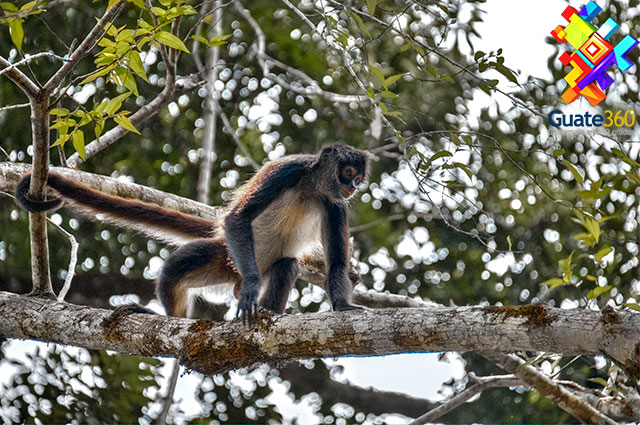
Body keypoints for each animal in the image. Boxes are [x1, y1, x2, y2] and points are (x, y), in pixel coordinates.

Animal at [15, 144, 369, 325]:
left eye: (358, 178)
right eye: (349, 173)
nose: (354, 186)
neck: (312, 188)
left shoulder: (336, 204)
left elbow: (338, 264)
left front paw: (343, 306)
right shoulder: (290, 171)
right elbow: (238, 218)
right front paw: (252, 289)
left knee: (287, 265)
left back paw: (267, 312)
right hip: (227, 257)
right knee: (179, 265)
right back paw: (174, 316)